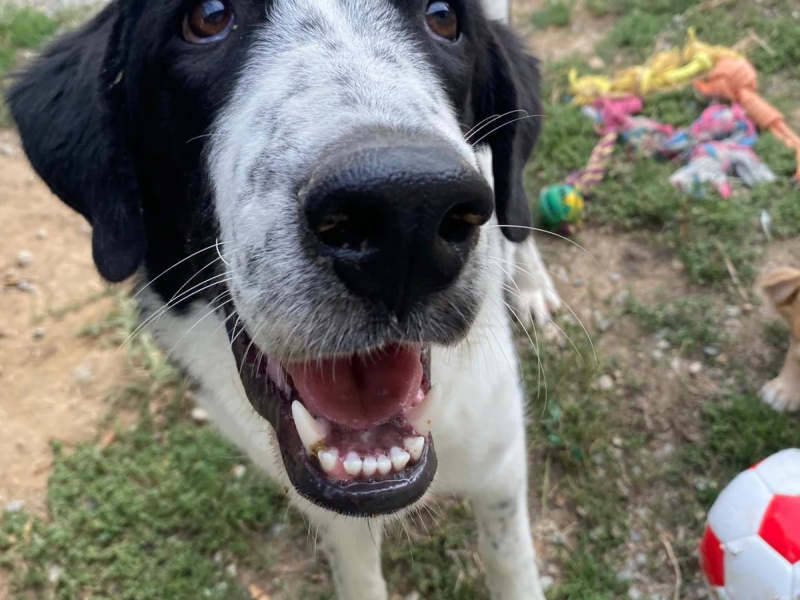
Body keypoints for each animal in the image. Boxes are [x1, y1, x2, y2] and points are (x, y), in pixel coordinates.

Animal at [7, 0, 560, 597]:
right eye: (207, 18)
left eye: (442, 18)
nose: (406, 212)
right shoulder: (334, 512)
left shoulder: (500, 456)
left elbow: (509, 561)